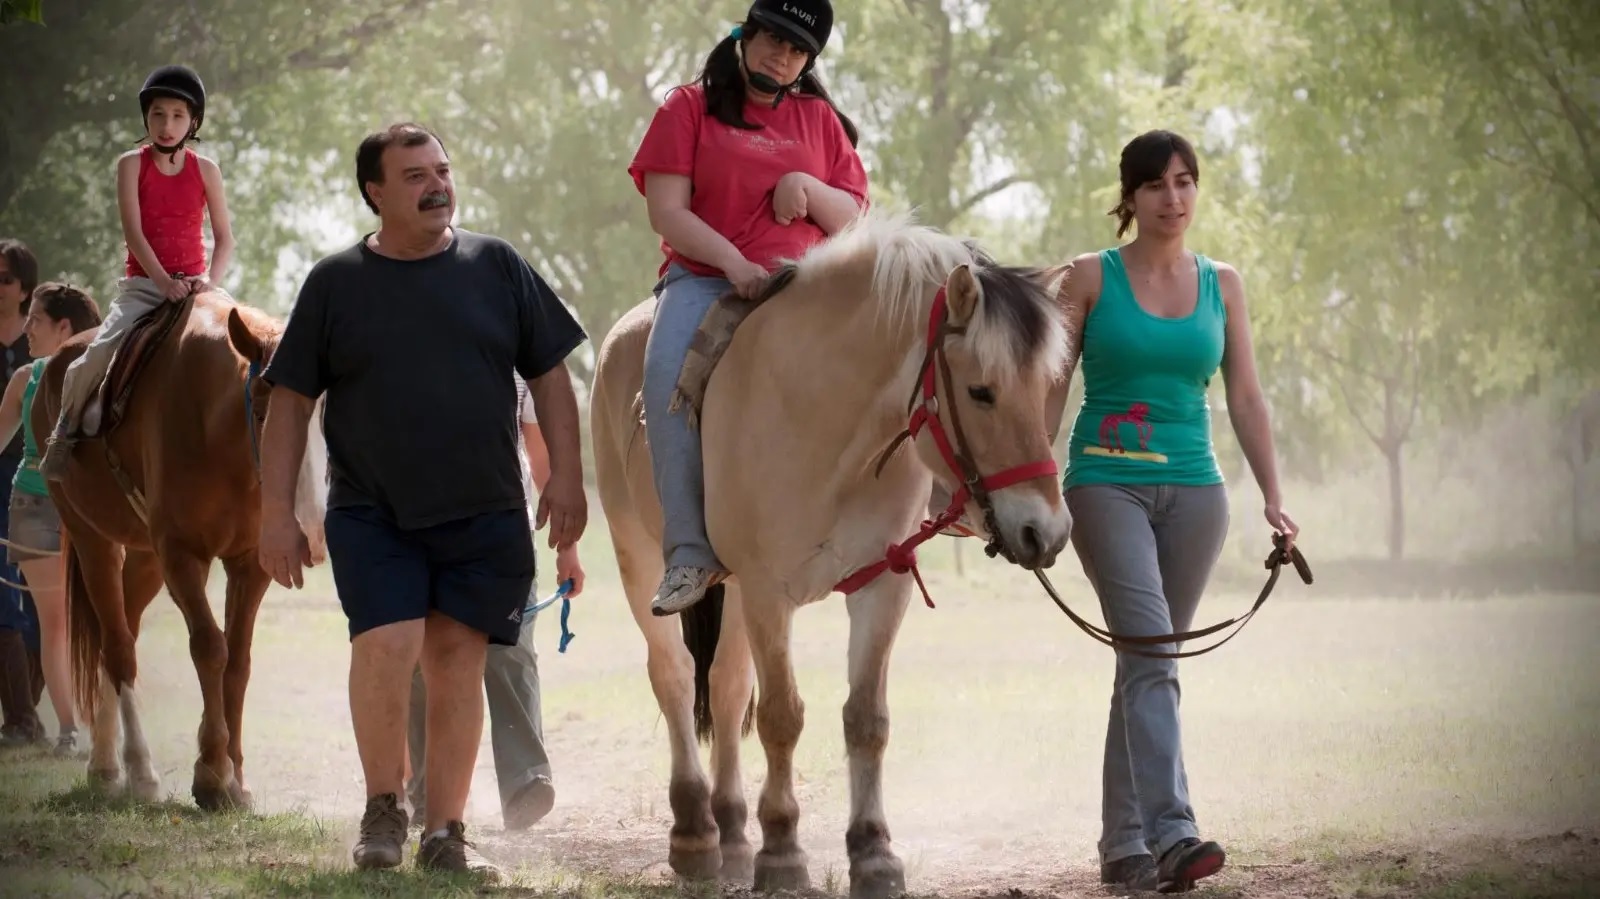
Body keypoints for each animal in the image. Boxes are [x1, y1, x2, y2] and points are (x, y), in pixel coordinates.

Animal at [33, 291, 328, 809]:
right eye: (264, 411)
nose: (310, 530)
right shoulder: (182, 555)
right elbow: (211, 648)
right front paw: (212, 775)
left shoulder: (249, 565)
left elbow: (239, 660)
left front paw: (235, 777)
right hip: (94, 540)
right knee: (118, 646)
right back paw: (136, 770)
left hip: (146, 560)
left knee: (122, 632)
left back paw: (108, 766)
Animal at [598, 211, 1075, 895]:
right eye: (981, 392)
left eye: (1043, 390)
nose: (1048, 531)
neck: (823, 417)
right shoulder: (768, 592)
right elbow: (782, 717)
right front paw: (782, 851)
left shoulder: (882, 585)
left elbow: (865, 720)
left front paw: (873, 851)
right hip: (640, 561)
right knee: (675, 678)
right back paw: (695, 832)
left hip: (733, 593)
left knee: (724, 687)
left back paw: (733, 832)